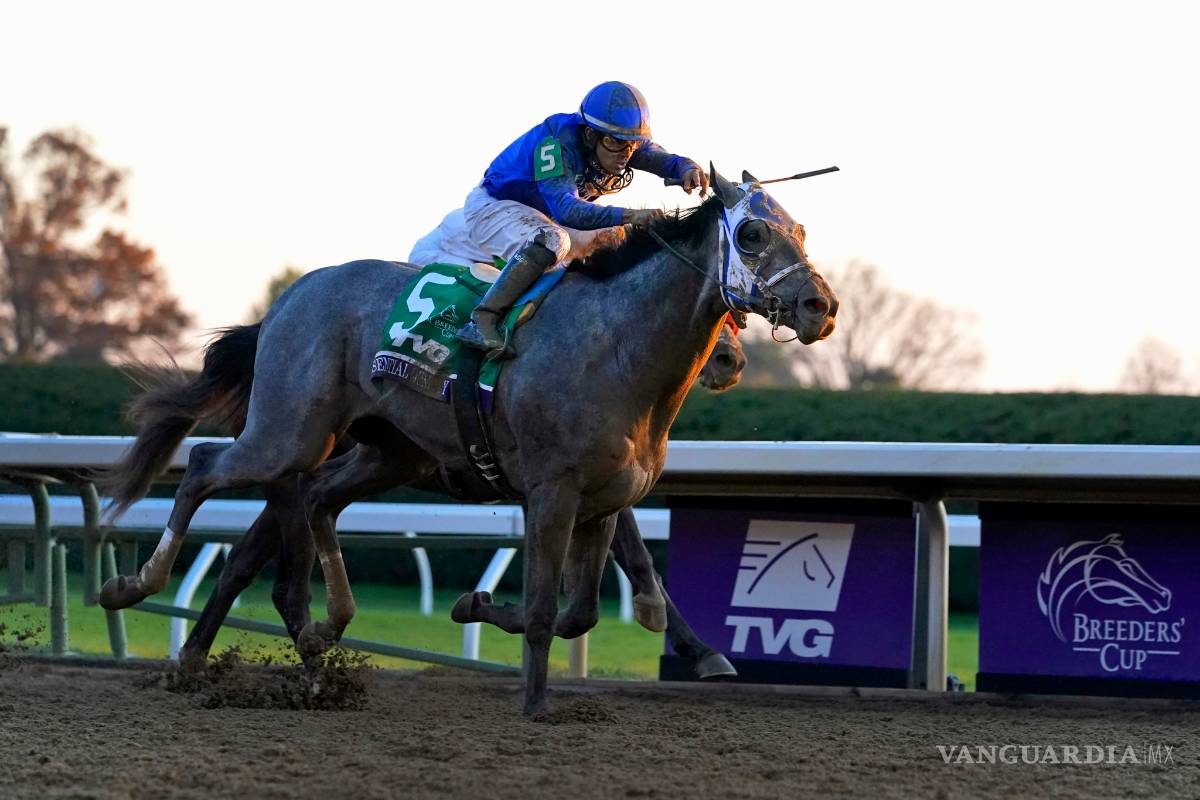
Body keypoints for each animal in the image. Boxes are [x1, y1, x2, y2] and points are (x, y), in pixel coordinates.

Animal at [169, 318, 747, 678]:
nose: (729, 359)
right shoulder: (563, 479)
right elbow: (636, 555)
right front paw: (701, 650)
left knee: (247, 555)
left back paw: (203, 652)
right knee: (256, 546)